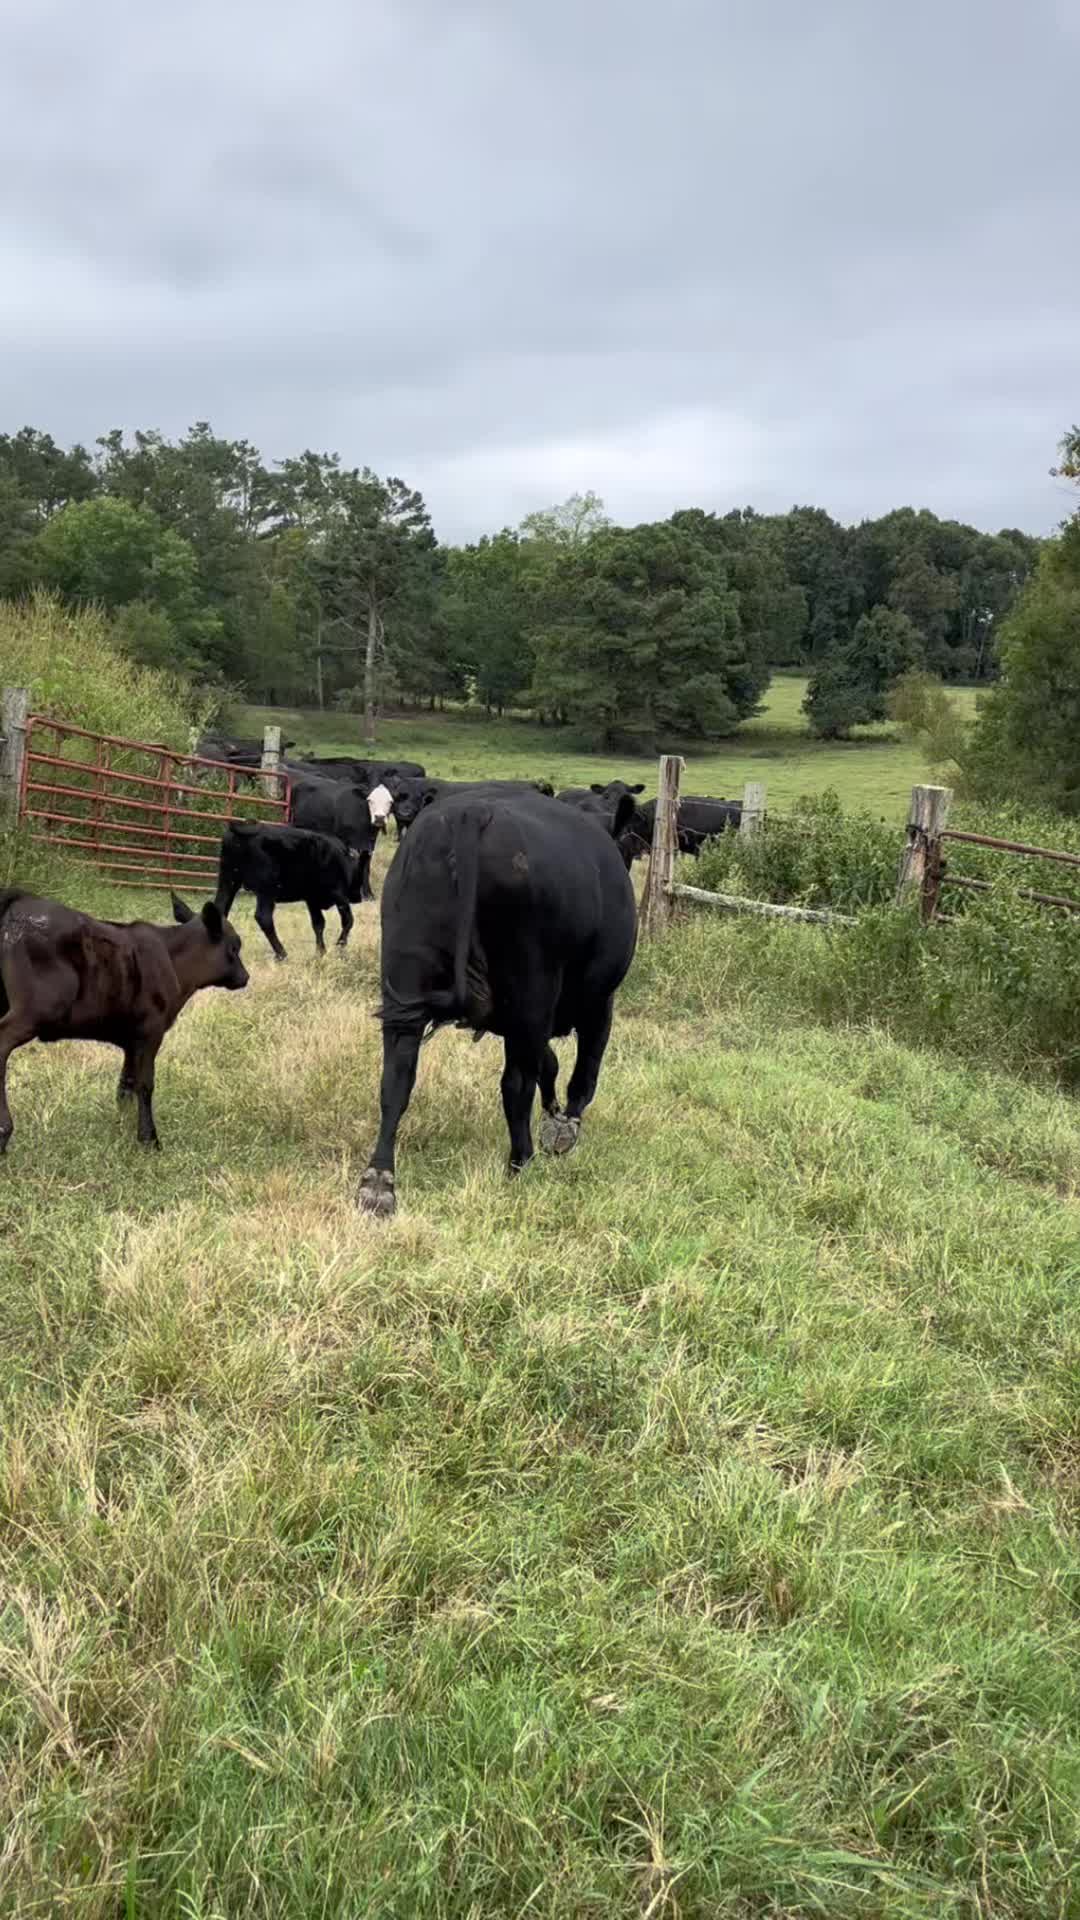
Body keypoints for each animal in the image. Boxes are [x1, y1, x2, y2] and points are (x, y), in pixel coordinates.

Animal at [0, 889, 248, 1158]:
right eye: (235, 946)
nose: (245, 977)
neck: (172, 960)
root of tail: (18, 901)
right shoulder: (151, 1031)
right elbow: (145, 1083)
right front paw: (149, 1138)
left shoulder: (132, 1038)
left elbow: (125, 1086)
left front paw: (124, 1128)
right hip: (35, 1010)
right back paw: (4, 1131)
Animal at [215, 822, 370, 961]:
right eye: (360, 874)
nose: (358, 898)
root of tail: (248, 828)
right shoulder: (338, 894)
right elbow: (348, 920)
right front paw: (339, 947)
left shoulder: (311, 898)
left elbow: (318, 924)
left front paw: (321, 952)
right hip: (267, 888)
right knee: (264, 917)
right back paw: (282, 954)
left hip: (228, 881)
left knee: (220, 909)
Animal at [357, 786, 638, 1217]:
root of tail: (471, 813)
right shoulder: (597, 1000)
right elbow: (583, 1071)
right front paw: (565, 1128)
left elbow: (549, 1064)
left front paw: (553, 1114)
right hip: (532, 986)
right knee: (515, 1084)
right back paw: (522, 1162)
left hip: (404, 983)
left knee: (396, 1080)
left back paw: (378, 1181)